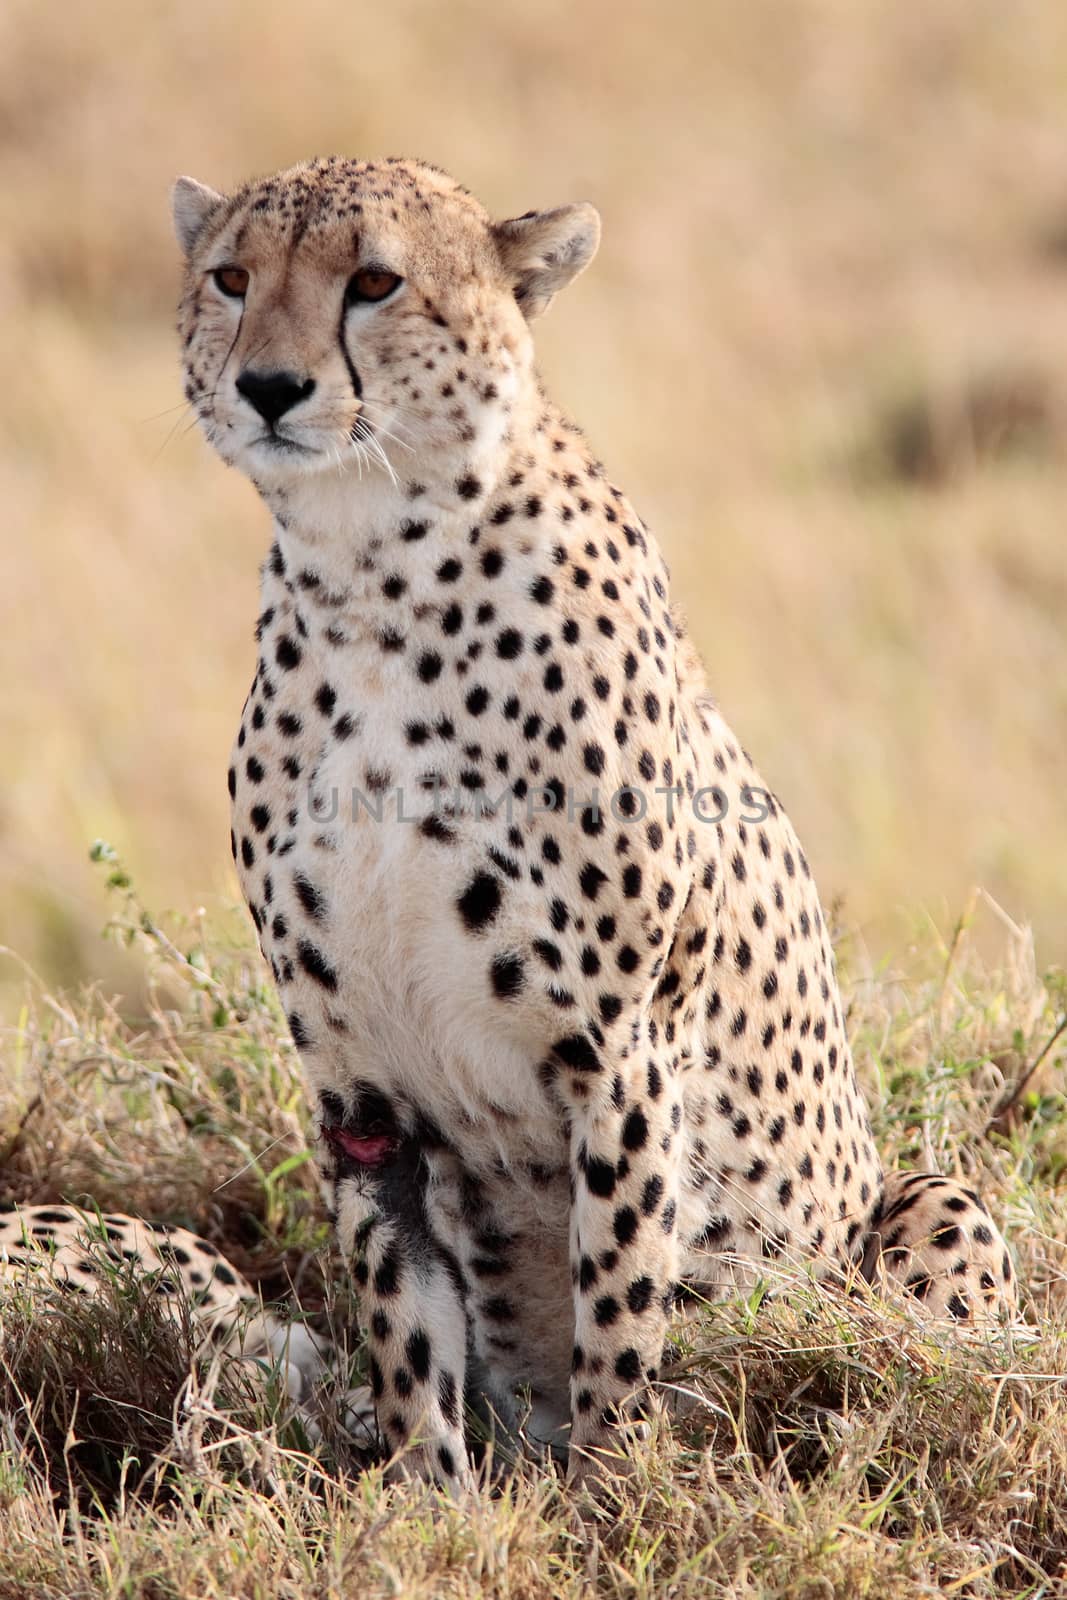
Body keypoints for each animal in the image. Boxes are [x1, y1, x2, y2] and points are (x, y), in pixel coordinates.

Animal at [171, 152, 1023, 1484]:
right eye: (230, 278)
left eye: (374, 282)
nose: (268, 385)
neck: (369, 575)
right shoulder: (361, 1095)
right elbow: (402, 1330)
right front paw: (425, 1504)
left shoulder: (619, 1052)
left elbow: (620, 1304)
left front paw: (614, 1495)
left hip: (924, 1208)